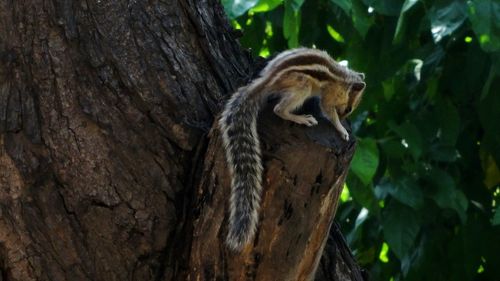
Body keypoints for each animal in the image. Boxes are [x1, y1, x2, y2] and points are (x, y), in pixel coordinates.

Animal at [217, 47, 366, 249]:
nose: (345, 115)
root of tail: (267, 80)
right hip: (302, 86)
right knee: (279, 109)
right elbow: (328, 110)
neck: (343, 78)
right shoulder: (328, 95)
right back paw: (301, 118)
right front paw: (341, 129)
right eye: (350, 109)